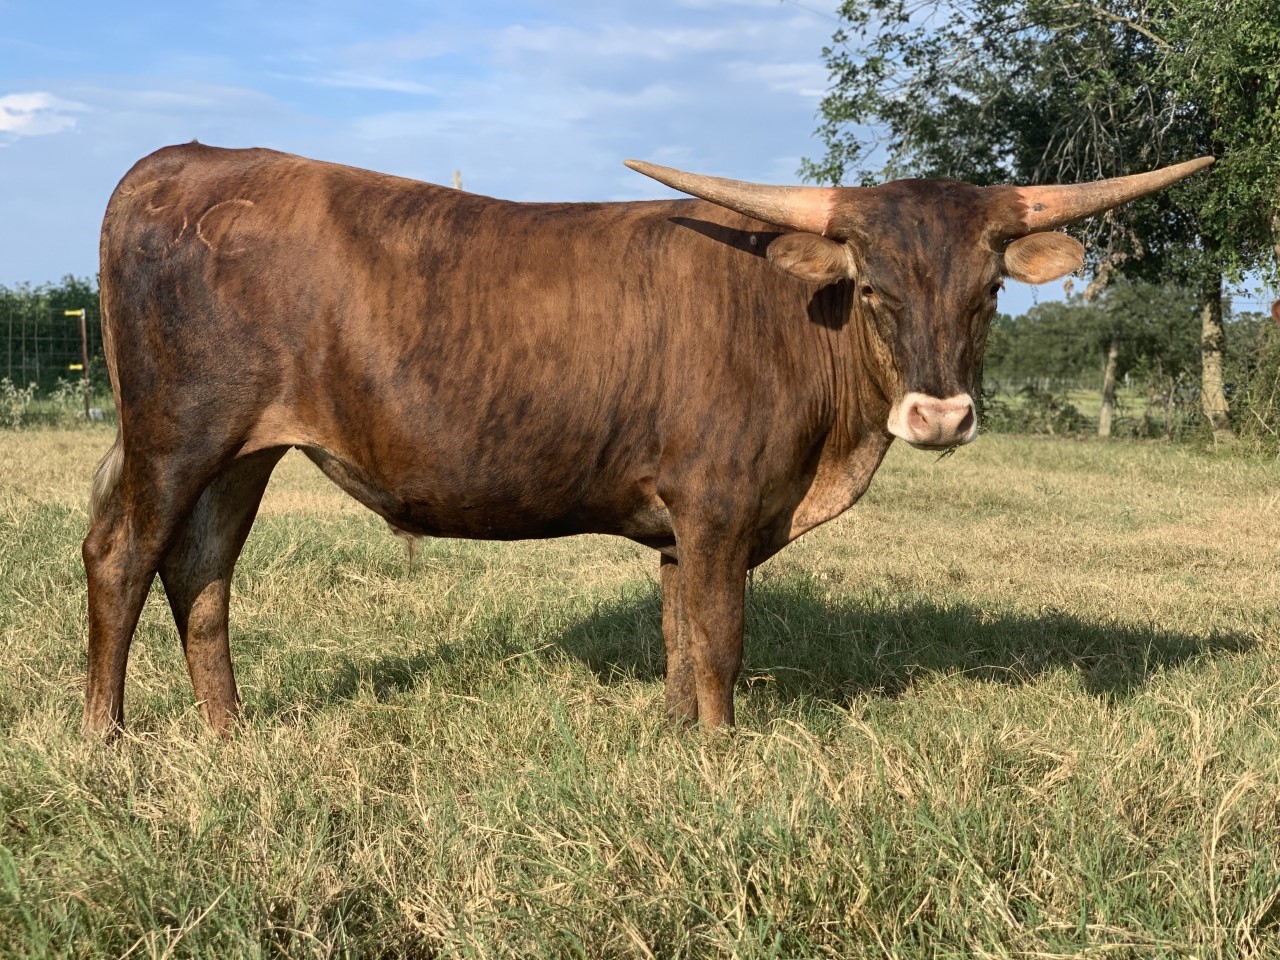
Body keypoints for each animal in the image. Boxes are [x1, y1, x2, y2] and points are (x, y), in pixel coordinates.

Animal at [82, 143, 1213, 736]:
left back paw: (228, 733)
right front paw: (719, 753)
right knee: (124, 557)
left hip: (242, 453)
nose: (939, 415)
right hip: (178, 433)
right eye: (873, 289)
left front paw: (675, 741)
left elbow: (677, 637)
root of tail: (183, 161)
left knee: (203, 571)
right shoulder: (717, 506)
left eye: (988, 293)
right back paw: (107, 738)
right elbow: (720, 641)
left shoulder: (680, 523)